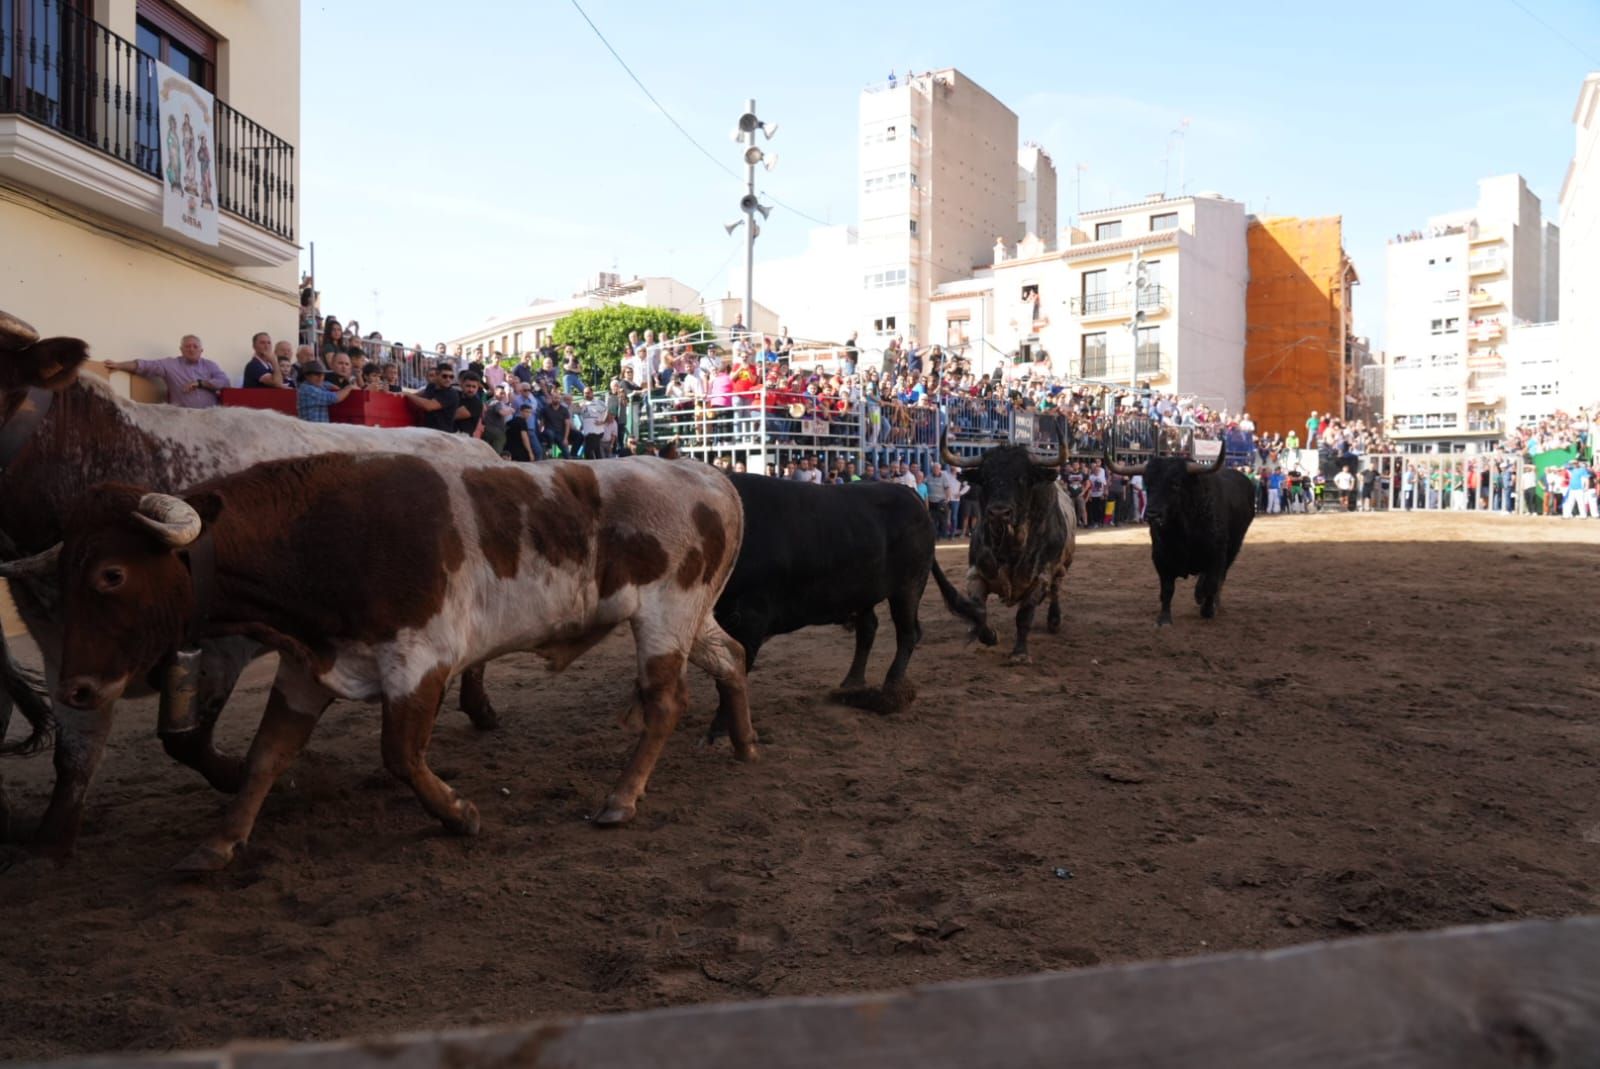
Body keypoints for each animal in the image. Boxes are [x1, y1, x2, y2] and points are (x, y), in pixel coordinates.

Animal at [0, 313, 499, 844]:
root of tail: (474, 443)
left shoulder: (220, 648)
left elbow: (187, 742)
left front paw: (265, 780)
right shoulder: (65, 652)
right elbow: (73, 762)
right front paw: (51, 842)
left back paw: (479, 707)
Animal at [0, 451, 752, 870]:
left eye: (111, 575)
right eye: (63, 573)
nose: (76, 688)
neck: (320, 539)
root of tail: (706, 474)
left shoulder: (420, 661)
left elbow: (399, 753)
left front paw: (458, 814)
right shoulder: (307, 668)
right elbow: (266, 757)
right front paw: (220, 843)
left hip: (664, 616)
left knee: (665, 703)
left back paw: (621, 798)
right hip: (691, 618)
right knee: (734, 657)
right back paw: (742, 743)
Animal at [934, 428, 1075, 662]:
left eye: (1023, 478)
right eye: (985, 478)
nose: (999, 513)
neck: (1010, 548)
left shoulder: (1041, 577)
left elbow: (1024, 615)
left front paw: (1020, 653)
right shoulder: (976, 574)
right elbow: (979, 611)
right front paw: (990, 636)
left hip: (1063, 566)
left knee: (1056, 589)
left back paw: (1054, 621)